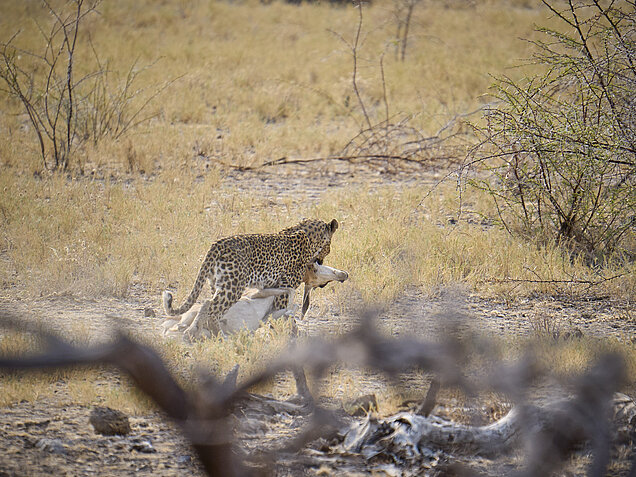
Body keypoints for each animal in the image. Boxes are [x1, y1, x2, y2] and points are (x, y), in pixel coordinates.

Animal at [162, 218, 339, 336]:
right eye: (329, 248)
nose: (320, 261)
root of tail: (216, 245)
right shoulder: (285, 284)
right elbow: (283, 311)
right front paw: (289, 332)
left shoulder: (272, 286)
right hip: (233, 286)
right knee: (211, 309)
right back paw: (220, 337)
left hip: (217, 284)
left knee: (210, 307)